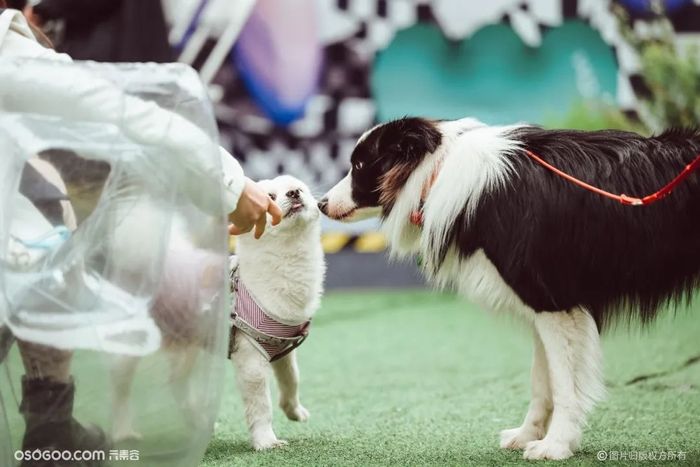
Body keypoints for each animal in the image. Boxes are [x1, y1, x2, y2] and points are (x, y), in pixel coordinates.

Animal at [231, 175, 326, 450]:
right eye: (270, 197)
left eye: (299, 187)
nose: (294, 193)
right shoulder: (251, 358)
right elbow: (261, 404)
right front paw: (266, 441)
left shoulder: (282, 347)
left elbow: (292, 379)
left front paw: (294, 411)